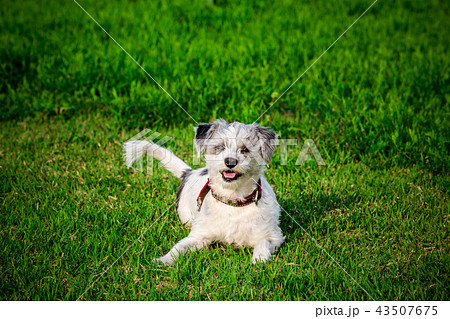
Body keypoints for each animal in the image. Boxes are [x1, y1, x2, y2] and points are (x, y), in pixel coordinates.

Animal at [123, 120, 284, 264]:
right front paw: (163, 260)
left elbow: (263, 245)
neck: (233, 200)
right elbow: (178, 248)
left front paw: (259, 260)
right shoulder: (198, 237)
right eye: (219, 147)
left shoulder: (273, 235)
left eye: (245, 150)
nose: (230, 161)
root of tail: (189, 173)